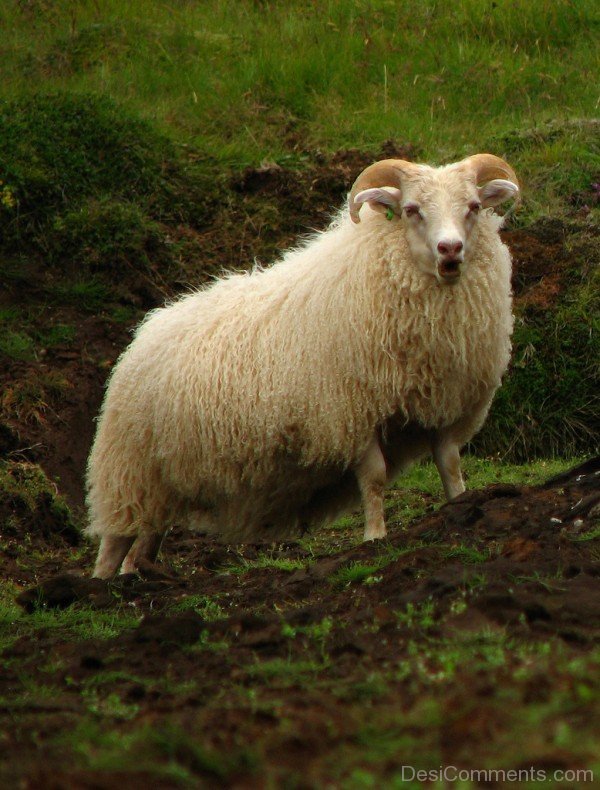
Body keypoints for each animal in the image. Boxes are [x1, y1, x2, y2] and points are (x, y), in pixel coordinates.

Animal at [86, 152, 516, 580]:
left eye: (473, 207)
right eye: (411, 210)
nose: (450, 250)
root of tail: (145, 332)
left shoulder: (447, 403)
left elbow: (450, 464)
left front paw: (459, 508)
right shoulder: (350, 413)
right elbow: (375, 479)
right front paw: (375, 537)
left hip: (162, 486)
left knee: (144, 540)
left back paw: (140, 576)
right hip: (128, 473)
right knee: (113, 546)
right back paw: (104, 585)